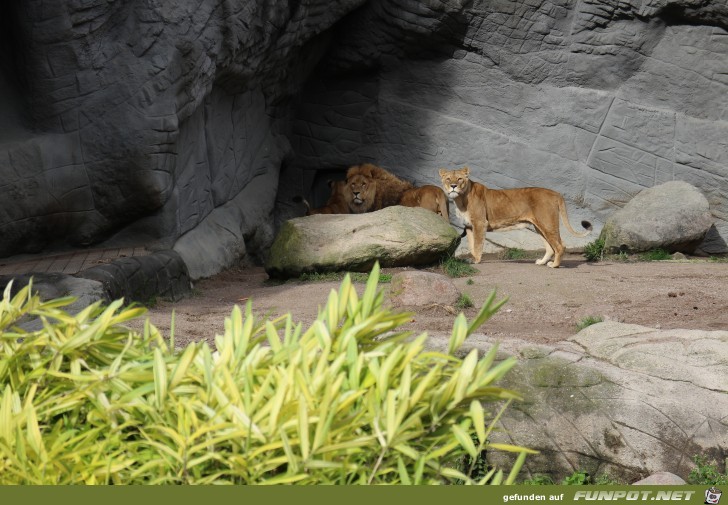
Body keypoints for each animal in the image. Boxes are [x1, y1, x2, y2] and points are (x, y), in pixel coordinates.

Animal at [438, 166, 592, 268]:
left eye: (459, 179)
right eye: (448, 179)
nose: (453, 186)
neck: (460, 199)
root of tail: (556, 193)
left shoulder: (480, 223)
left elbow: (477, 244)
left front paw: (476, 261)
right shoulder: (469, 226)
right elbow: (471, 245)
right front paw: (472, 259)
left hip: (547, 224)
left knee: (560, 246)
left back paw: (554, 265)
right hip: (539, 226)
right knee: (549, 247)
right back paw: (542, 262)